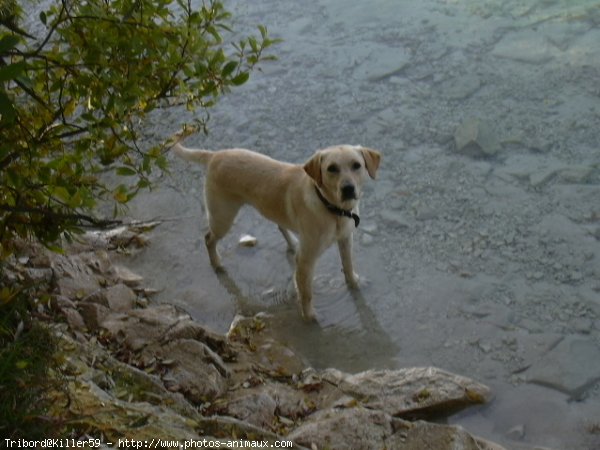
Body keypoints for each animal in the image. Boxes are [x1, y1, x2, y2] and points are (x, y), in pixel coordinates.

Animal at [171, 139, 382, 322]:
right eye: (332, 169)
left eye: (356, 165)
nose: (348, 188)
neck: (332, 208)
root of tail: (215, 155)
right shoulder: (306, 259)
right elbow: (306, 293)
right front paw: (309, 317)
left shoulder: (346, 239)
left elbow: (348, 265)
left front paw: (355, 282)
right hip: (222, 217)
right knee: (208, 238)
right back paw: (217, 264)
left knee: (281, 225)